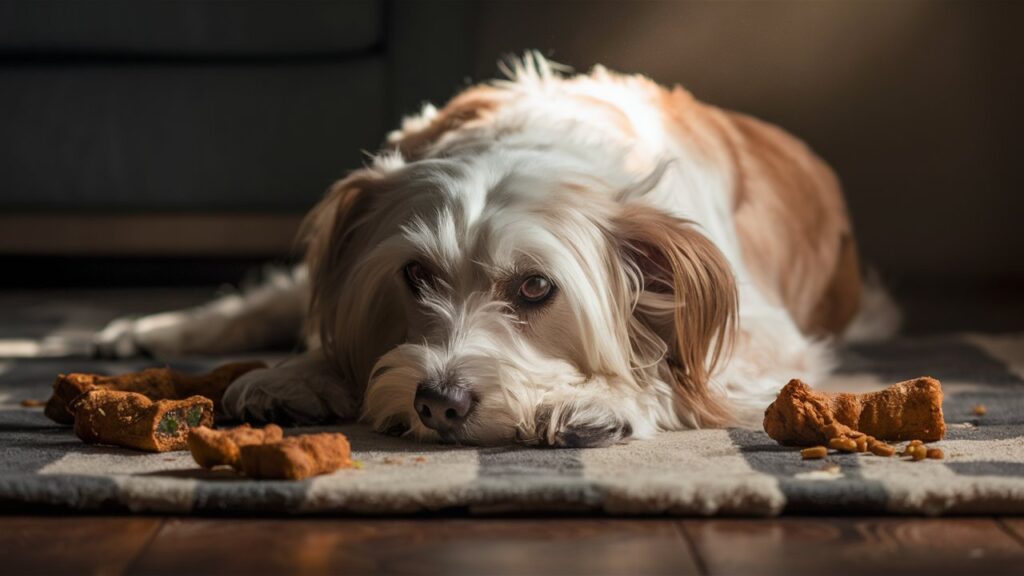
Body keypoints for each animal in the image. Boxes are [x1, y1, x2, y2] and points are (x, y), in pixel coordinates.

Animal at [96, 53, 897, 446]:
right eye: (415, 274)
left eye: (537, 288)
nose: (439, 403)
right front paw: (300, 373)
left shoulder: (770, 334)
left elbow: (679, 370)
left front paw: (602, 397)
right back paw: (148, 330)